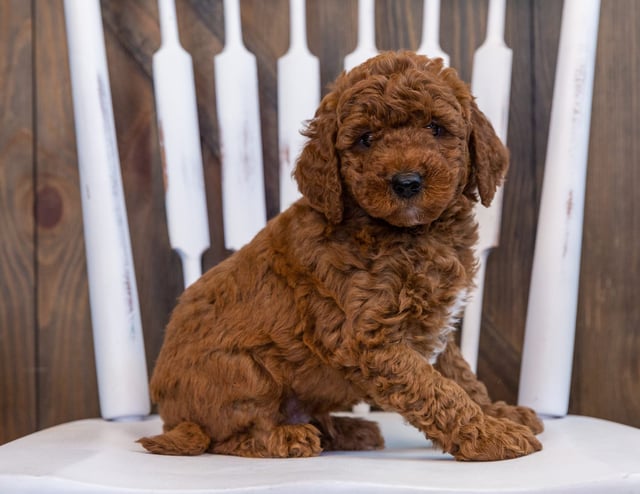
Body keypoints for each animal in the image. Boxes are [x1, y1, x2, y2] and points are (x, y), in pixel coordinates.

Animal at [138, 50, 544, 460]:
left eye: (435, 128)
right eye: (366, 139)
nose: (407, 182)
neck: (412, 234)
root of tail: (173, 418)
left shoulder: (434, 326)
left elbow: (462, 377)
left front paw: (500, 413)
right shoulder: (368, 337)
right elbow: (437, 390)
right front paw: (491, 434)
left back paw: (348, 429)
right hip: (244, 372)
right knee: (228, 435)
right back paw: (287, 436)